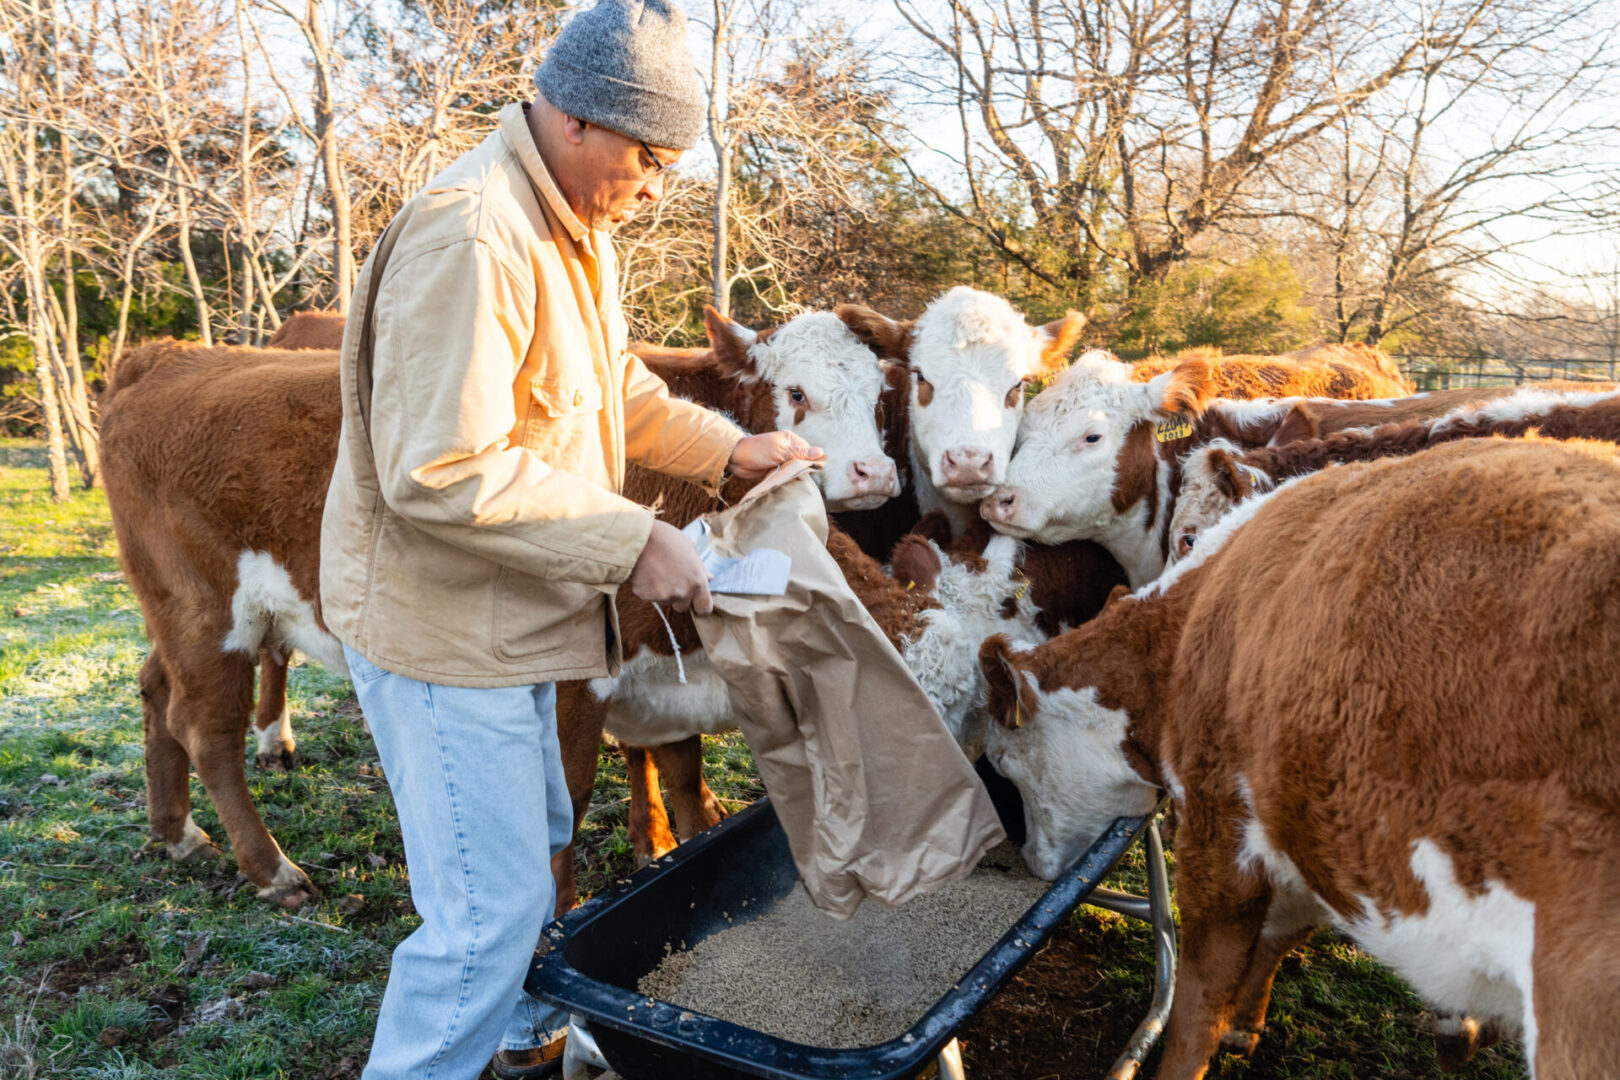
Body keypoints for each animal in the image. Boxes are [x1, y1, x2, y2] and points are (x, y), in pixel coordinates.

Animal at [972, 437, 1620, 1080]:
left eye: (1004, 763)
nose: (1032, 861)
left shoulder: (1219, 832)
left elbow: (1197, 1003)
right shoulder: (1305, 822)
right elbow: (1279, 935)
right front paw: (1246, 1023)